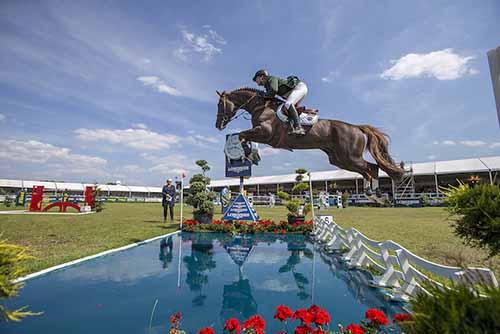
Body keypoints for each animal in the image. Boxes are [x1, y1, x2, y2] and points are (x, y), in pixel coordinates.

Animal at [216, 87, 406, 189]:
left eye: (219, 105)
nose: (218, 125)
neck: (260, 107)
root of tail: (356, 127)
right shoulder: (261, 134)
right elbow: (243, 136)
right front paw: (251, 154)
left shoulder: (265, 133)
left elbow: (242, 134)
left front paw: (249, 154)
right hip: (339, 159)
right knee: (366, 170)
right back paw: (373, 194)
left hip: (350, 156)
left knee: (372, 167)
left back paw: (375, 194)